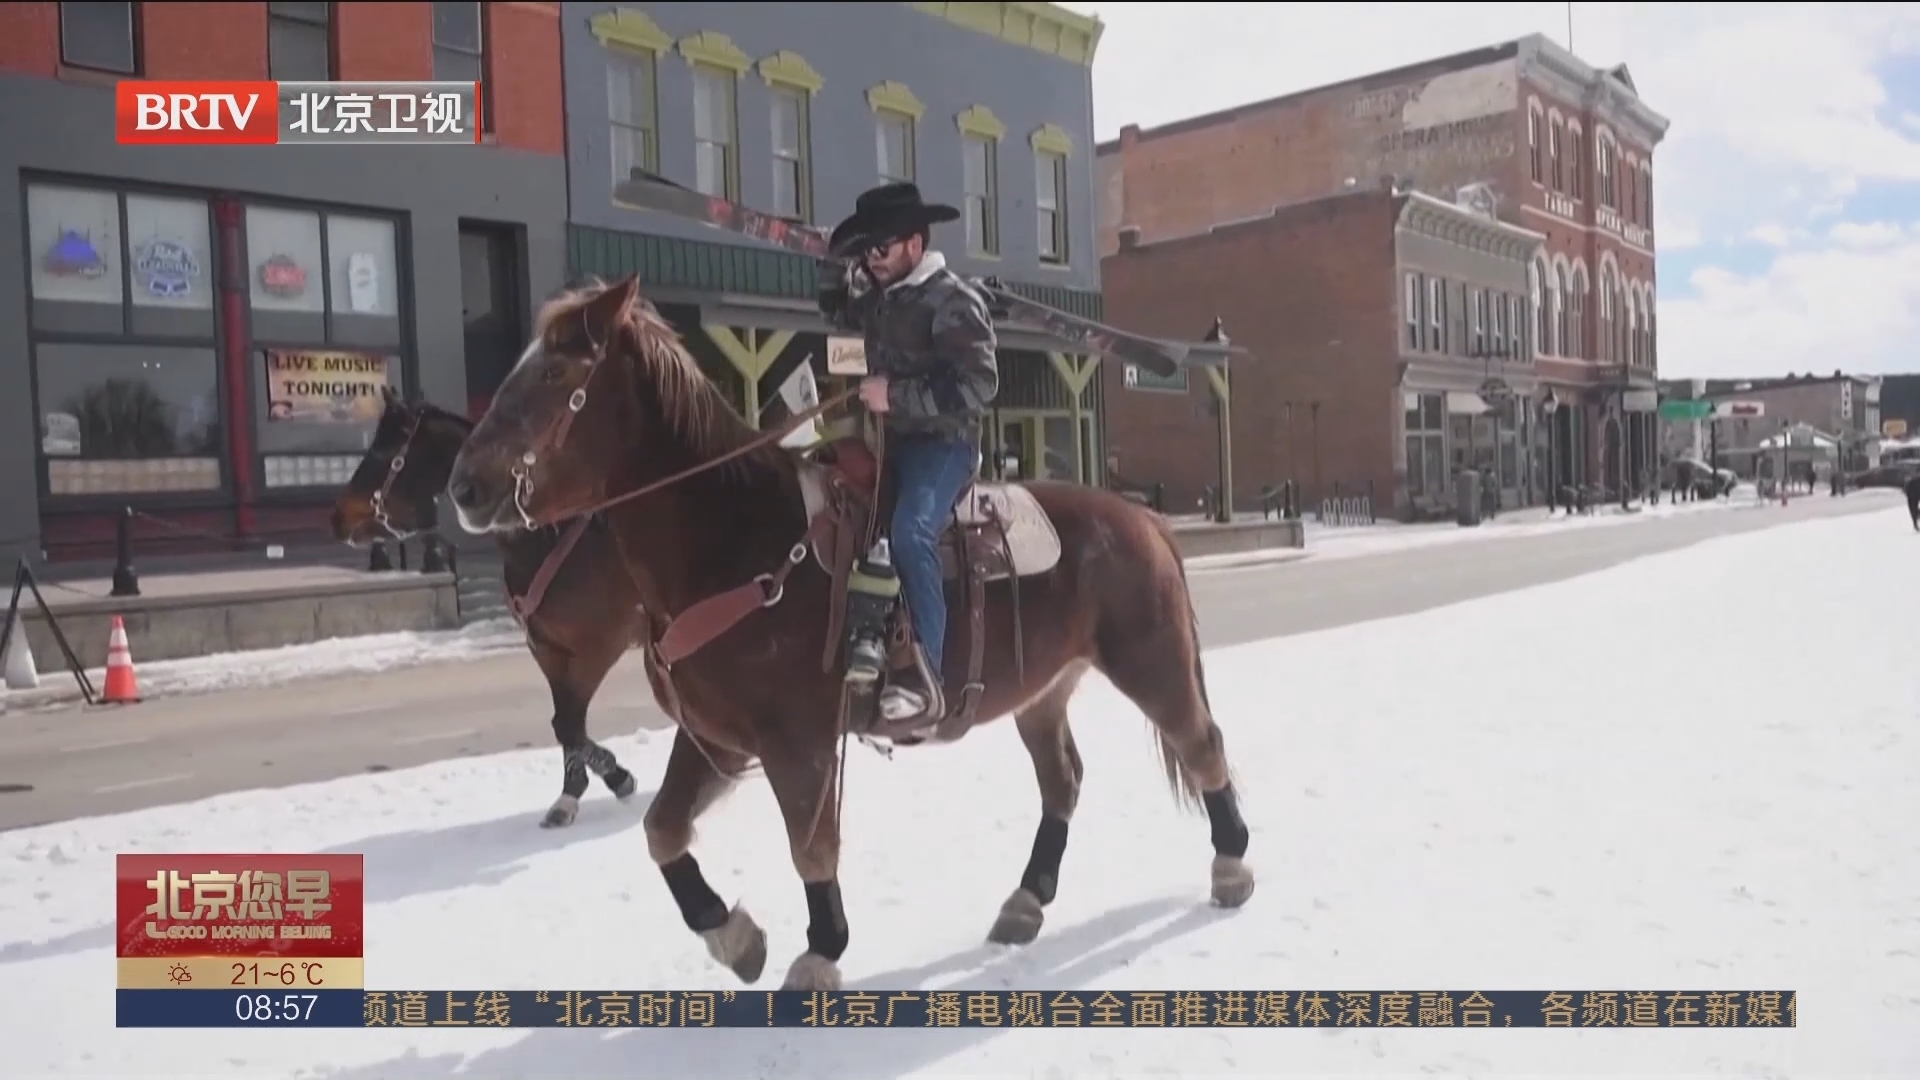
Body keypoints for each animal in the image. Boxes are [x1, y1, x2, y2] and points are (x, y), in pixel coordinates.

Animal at [337, 386, 675, 822]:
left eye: (383, 451)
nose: (338, 517)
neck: (549, 539)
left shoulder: (600, 646)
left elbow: (568, 724)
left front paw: (619, 776)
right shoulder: (548, 649)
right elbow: (566, 722)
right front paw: (574, 792)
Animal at [441, 278, 1251, 991]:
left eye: (553, 372)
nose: (463, 486)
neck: (734, 541)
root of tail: (1142, 517)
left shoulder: (795, 740)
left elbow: (811, 846)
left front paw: (820, 950)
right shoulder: (718, 738)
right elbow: (662, 831)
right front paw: (734, 936)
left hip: (1150, 660)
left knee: (1201, 745)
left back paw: (1232, 865)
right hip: (1042, 691)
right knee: (1064, 780)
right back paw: (1026, 901)